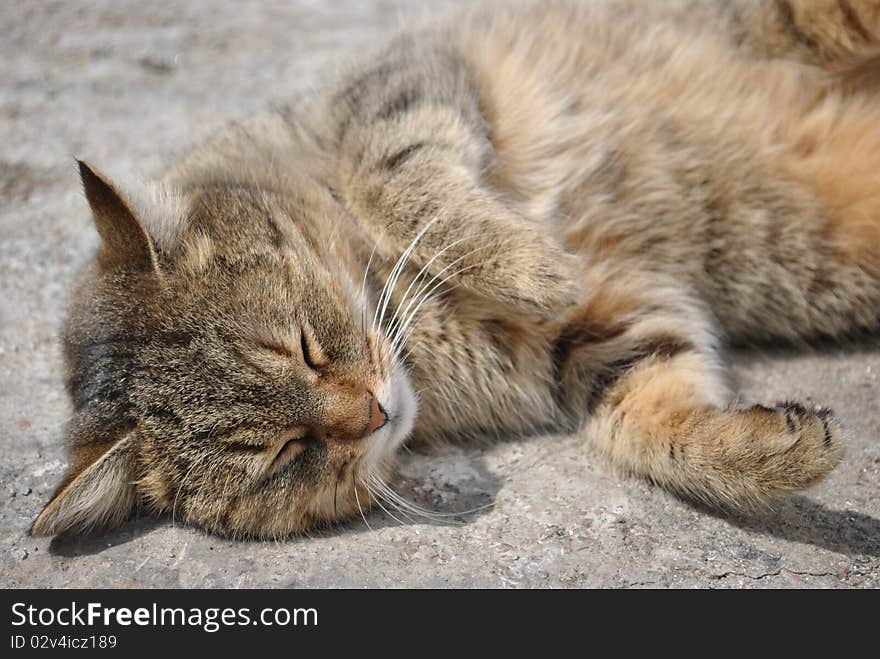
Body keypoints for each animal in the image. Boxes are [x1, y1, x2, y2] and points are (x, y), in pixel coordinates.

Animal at [31, 0, 880, 540]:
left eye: (303, 345)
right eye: (286, 454)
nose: (374, 412)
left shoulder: (403, 84)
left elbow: (405, 179)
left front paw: (535, 266)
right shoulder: (607, 333)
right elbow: (654, 424)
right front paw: (771, 450)